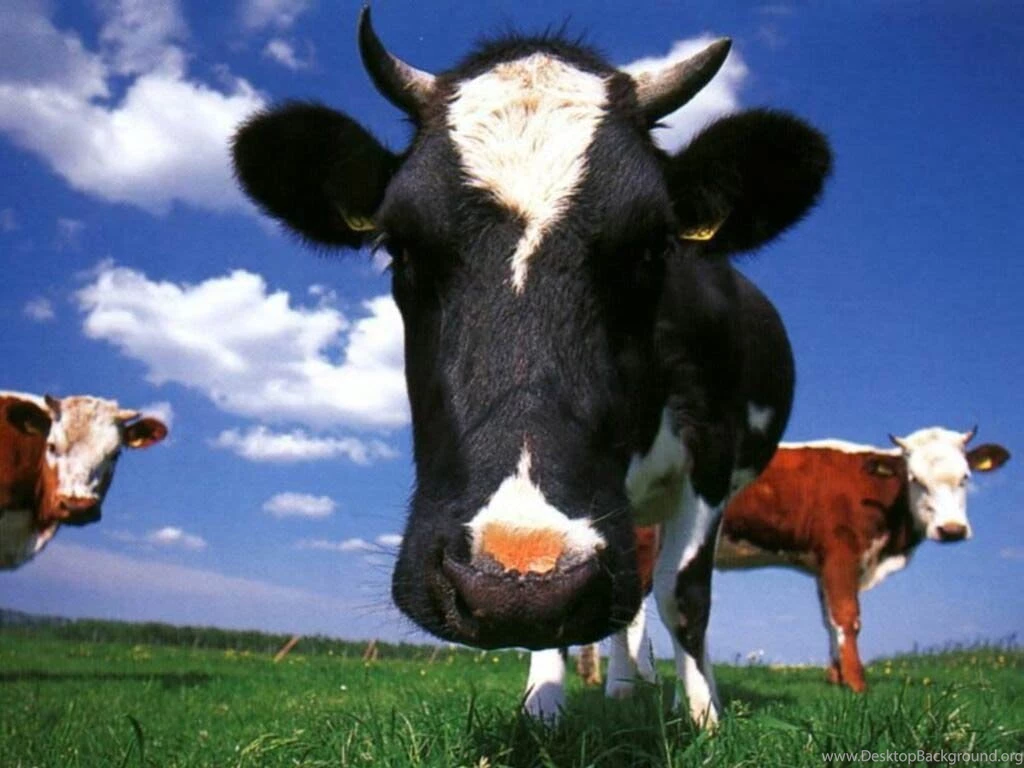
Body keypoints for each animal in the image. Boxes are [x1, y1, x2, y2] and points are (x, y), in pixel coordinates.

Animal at [231, 8, 831, 727]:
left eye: (654, 247)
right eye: (398, 247)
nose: (515, 583)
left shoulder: (712, 450)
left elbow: (684, 596)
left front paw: (705, 717)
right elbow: (578, 625)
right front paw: (544, 707)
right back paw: (621, 687)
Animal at [569, 426, 1010, 700]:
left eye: (966, 477)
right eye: (914, 479)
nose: (951, 530)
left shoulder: (821, 564)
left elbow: (828, 619)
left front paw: (835, 678)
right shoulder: (840, 551)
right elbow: (847, 617)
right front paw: (857, 684)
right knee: (626, 616)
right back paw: (620, 687)